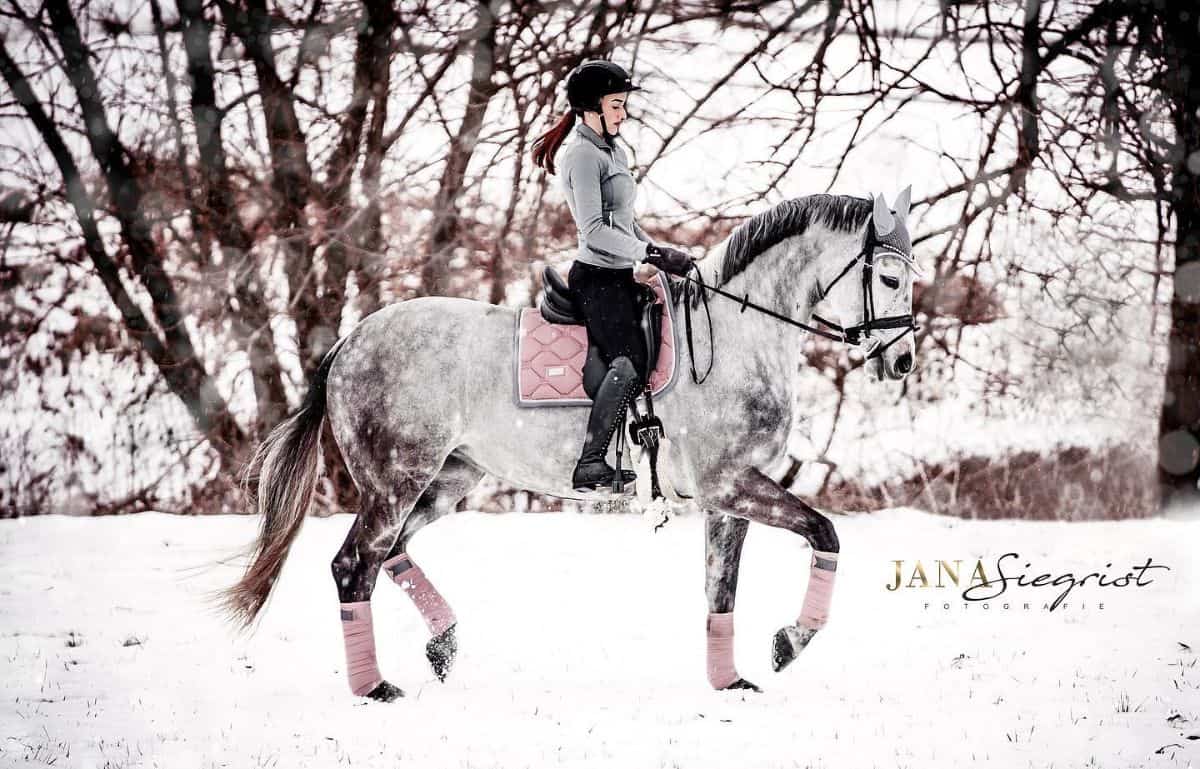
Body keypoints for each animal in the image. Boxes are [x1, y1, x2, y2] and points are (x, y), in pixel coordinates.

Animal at [223, 189, 916, 700]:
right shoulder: (732, 485)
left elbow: (722, 588)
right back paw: (374, 687)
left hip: (447, 480)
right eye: (888, 277)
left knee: (388, 552)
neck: (736, 336)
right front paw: (789, 644)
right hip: (397, 479)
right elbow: (825, 532)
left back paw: (443, 647)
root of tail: (351, 340)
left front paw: (730, 681)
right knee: (354, 564)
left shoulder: (728, 499)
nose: (903, 360)